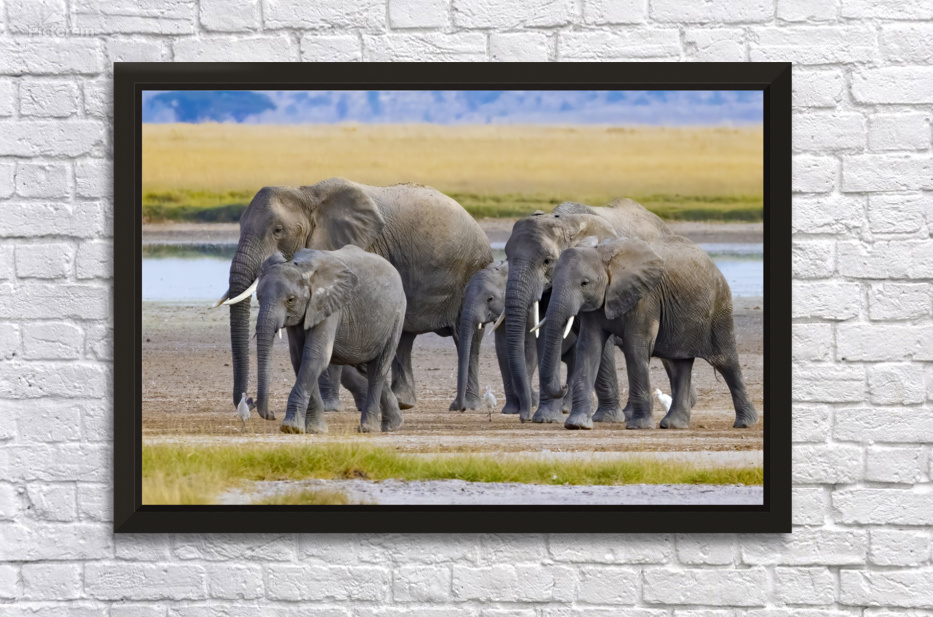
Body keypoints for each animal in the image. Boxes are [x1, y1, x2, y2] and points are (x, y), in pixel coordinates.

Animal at [254, 246, 407, 434]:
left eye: (290, 300)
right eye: (258, 297)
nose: (272, 414)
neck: (302, 268)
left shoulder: (329, 305)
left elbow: (315, 357)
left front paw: (291, 427)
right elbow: (299, 358)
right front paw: (316, 429)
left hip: (397, 316)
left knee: (378, 368)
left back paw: (368, 428)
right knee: (366, 368)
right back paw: (394, 424)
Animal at [448, 260, 539, 415]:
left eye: (490, 299)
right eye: (463, 297)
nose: (461, 408)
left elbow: (530, 345)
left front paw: (530, 402)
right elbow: (502, 347)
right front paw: (511, 409)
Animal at [502, 199, 673, 423]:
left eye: (547, 260)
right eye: (507, 257)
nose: (524, 418)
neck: (567, 223)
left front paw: (607, 418)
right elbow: (547, 333)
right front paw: (546, 418)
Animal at [539, 235, 758, 431]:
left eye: (584, 283)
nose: (563, 387)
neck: (603, 255)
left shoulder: (645, 298)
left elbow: (636, 348)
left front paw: (638, 426)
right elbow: (589, 348)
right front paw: (576, 425)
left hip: (719, 308)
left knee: (726, 362)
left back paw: (745, 423)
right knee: (680, 364)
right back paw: (673, 425)